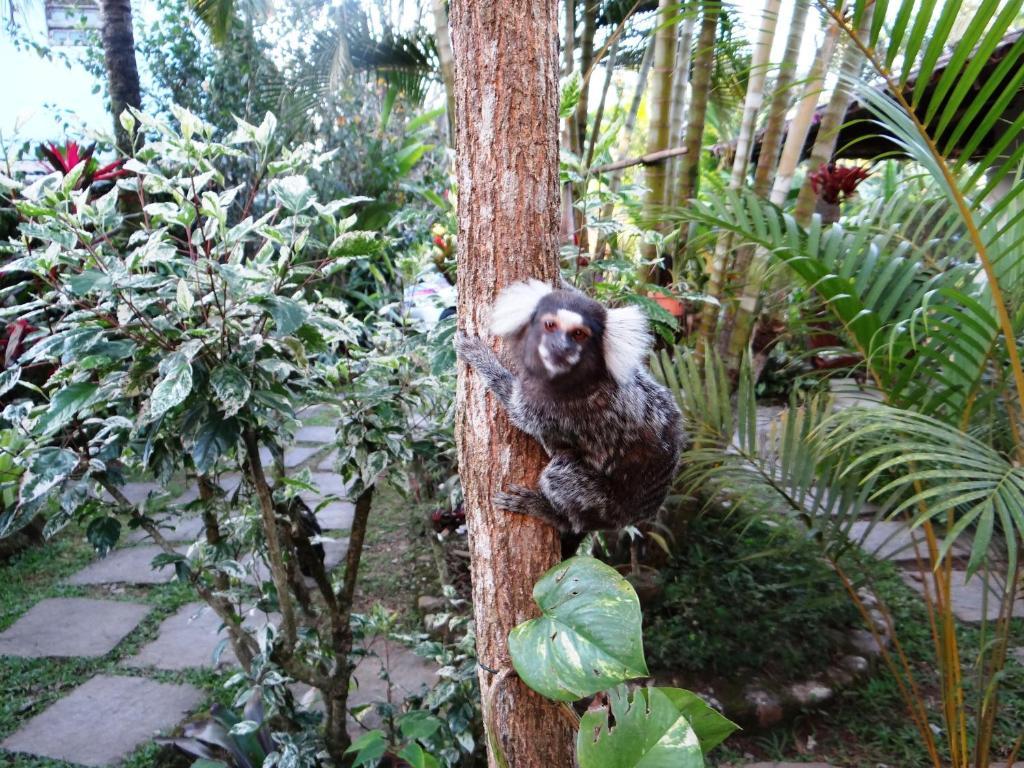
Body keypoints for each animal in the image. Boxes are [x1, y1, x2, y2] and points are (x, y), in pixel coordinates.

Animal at [454, 280, 679, 548]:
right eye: (550, 325)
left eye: (578, 334)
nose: (561, 347)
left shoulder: (554, 408)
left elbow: (517, 410)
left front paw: (479, 356)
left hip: (605, 506)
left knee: (561, 476)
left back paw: (550, 513)